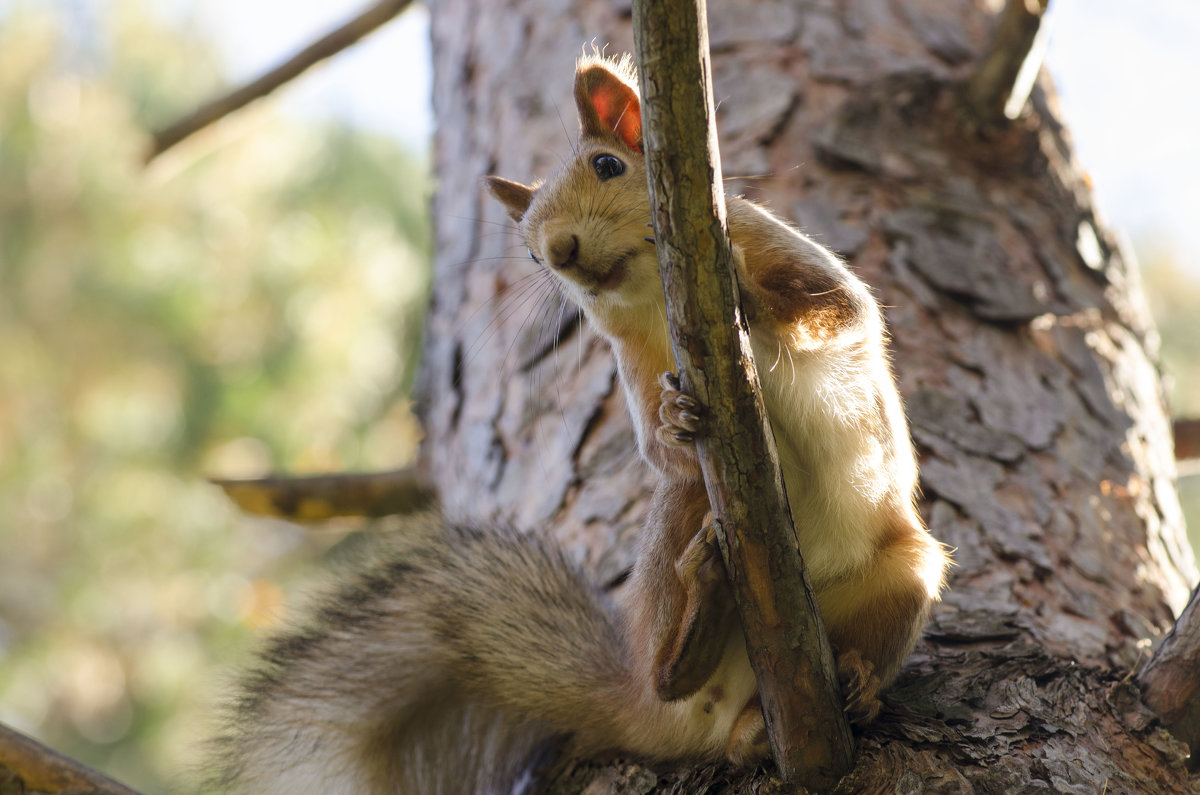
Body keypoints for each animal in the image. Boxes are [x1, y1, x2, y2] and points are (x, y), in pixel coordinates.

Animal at [484, 52, 945, 730]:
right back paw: (693, 630)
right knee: (669, 668)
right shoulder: (633, 357)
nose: (559, 251)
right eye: (531, 258)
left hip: (903, 573)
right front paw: (673, 418)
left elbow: (841, 307)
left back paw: (855, 683)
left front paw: (747, 293)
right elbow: (657, 449)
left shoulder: (774, 245)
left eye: (608, 165)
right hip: (686, 517)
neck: (656, 295)